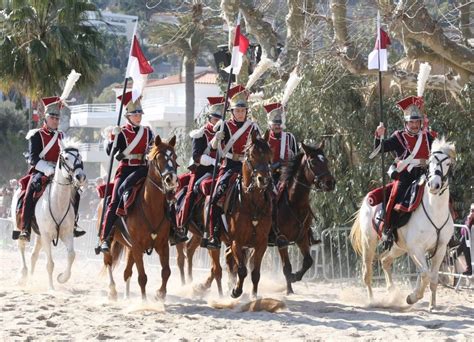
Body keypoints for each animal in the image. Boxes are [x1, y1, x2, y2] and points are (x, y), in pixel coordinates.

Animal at [11, 140, 86, 290]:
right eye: (66, 158)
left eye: (80, 157)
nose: (80, 177)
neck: (58, 202)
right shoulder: (46, 235)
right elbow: (50, 263)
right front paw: (51, 288)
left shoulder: (66, 234)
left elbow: (71, 255)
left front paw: (62, 278)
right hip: (19, 227)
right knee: (21, 247)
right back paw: (23, 275)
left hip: (39, 235)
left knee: (33, 255)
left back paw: (31, 279)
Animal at [97, 135, 178, 300]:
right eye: (158, 157)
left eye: (174, 156)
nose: (171, 178)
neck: (150, 207)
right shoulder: (137, 246)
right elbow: (142, 277)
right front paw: (144, 301)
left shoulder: (162, 245)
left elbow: (166, 271)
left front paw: (160, 294)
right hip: (112, 242)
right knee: (108, 262)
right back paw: (113, 291)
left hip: (129, 248)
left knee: (127, 272)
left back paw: (127, 296)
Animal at [201, 131, 274, 300]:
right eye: (252, 155)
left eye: (269, 154)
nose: (264, 179)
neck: (252, 203)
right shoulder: (237, 242)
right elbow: (242, 270)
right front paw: (236, 291)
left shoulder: (261, 244)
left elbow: (255, 273)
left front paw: (254, 296)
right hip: (213, 243)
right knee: (217, 269)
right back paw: (221, 294)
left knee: (227, 261)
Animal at [276, 140, 336, 292]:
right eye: (313, 162)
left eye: (326, 160)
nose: (330, 183)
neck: (294, 203)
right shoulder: (282, 240)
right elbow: (286, 267)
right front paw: (289, 289)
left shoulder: (302, 238)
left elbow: (308, 261)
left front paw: (295, 277)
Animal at [350, 137, 458, 310]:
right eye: (430, 162)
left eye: (447, 163)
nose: (434, 185)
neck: (434, 210)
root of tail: (368, 199)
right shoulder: (416, 249)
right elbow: (425, 274)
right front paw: (412, 298)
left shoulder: (440, 249)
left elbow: (433, 277)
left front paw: (432, 305)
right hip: (369, 243)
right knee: (367, 272)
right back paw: (372, 300)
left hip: (398, 247)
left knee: (385, 260)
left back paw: (392, 291)